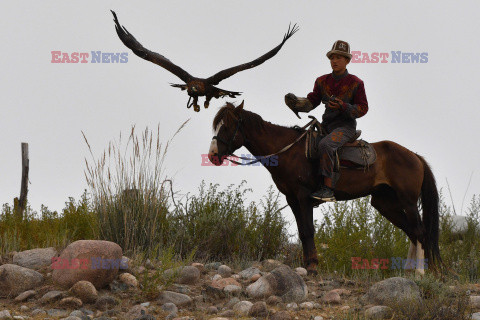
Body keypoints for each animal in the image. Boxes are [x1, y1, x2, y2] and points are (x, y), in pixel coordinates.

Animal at [208, 102, 440, 276]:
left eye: (227, 126)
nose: (212, 155)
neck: (288, 152)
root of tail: (415, 156)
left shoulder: (303, 196)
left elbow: (309, 230)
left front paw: (312, 267)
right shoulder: (292, 199)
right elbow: (302, 232)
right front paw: (307, 265)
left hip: (408, 201)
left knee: (420, 232)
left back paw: (420, 272)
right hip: (385, 203)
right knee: (411, 232)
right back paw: (409, 270)